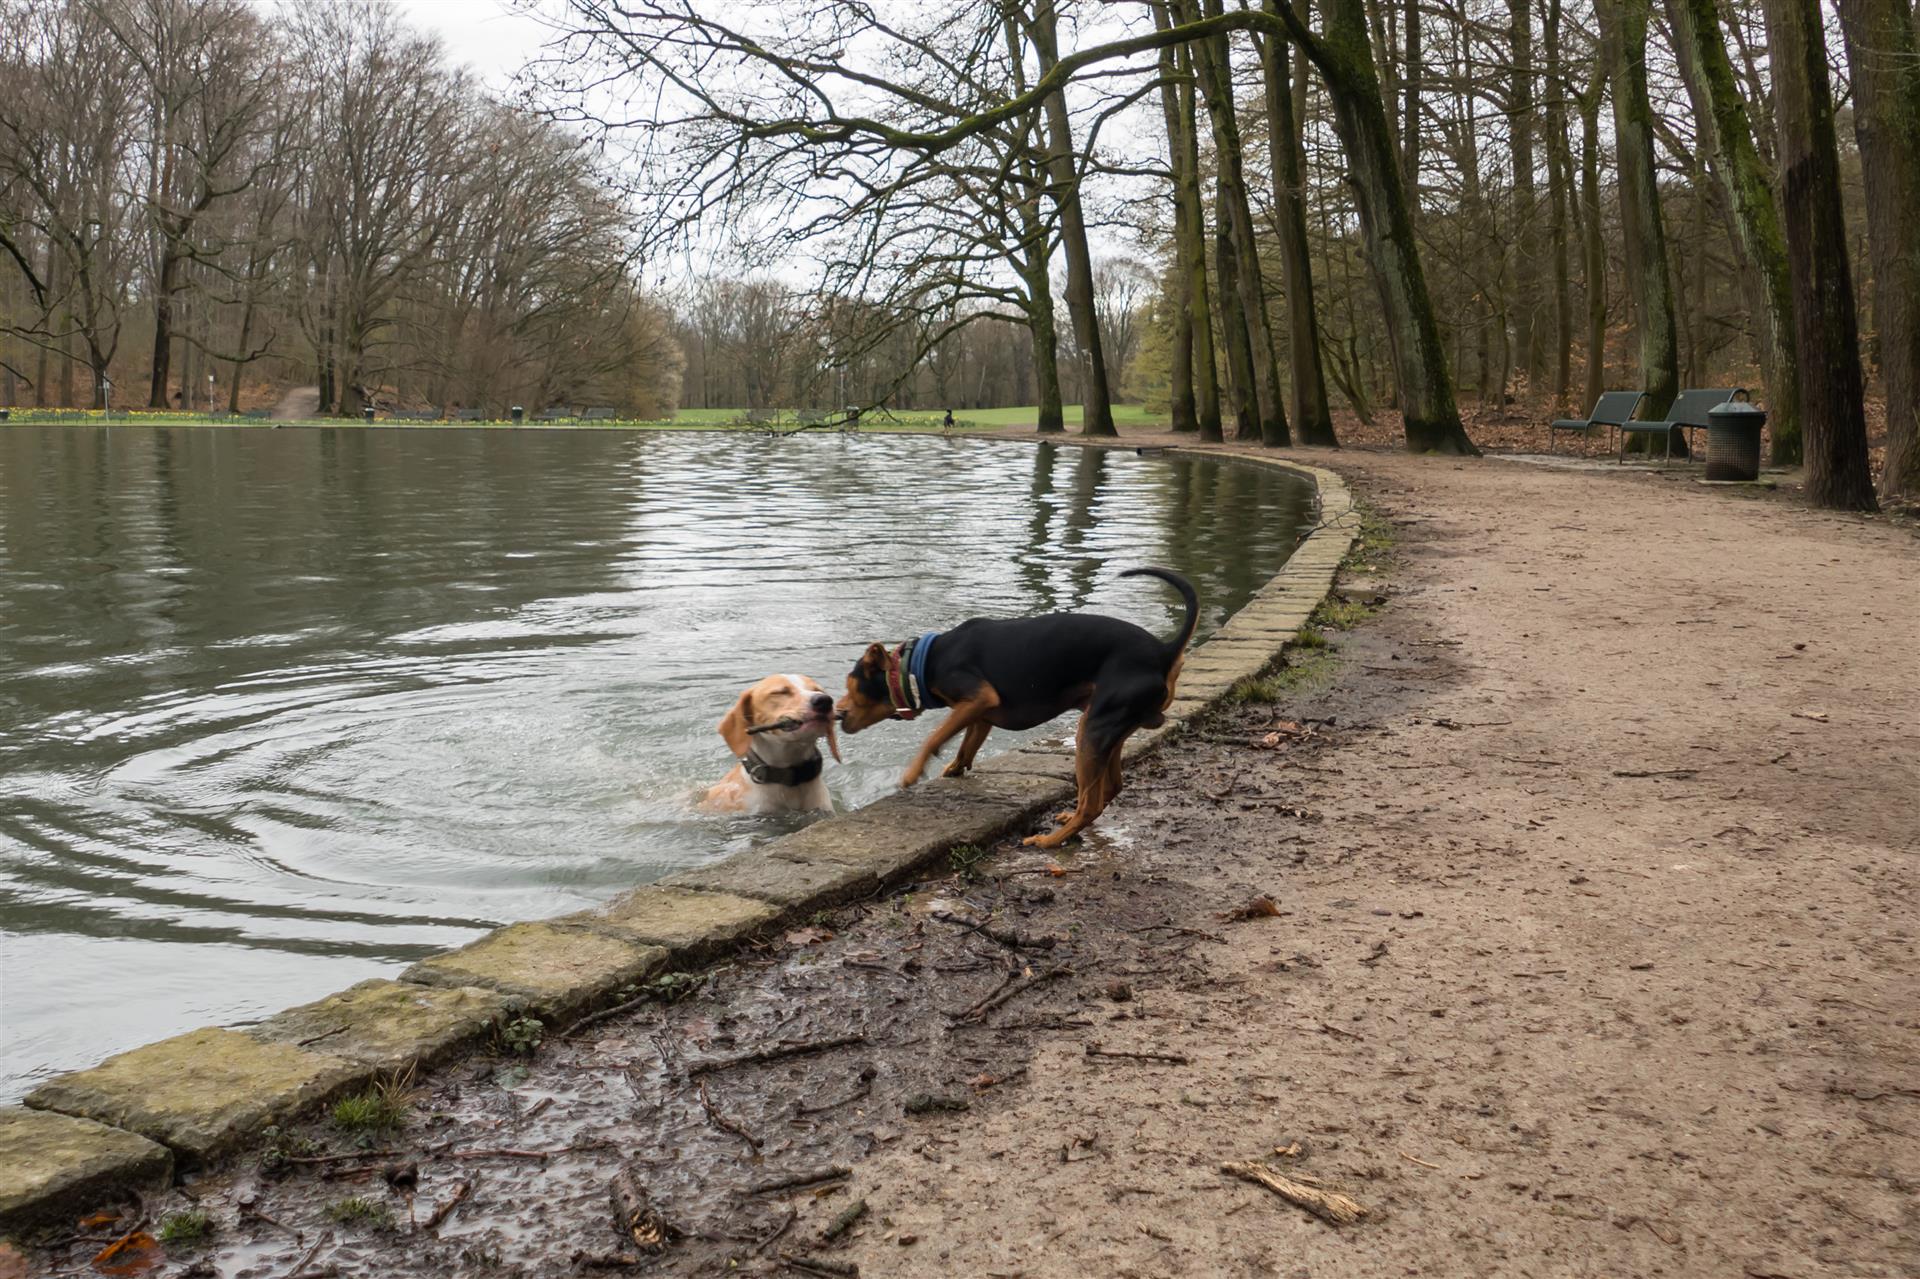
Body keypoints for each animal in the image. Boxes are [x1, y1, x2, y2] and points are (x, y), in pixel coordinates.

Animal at [834, 567, 1198, 848]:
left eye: (851, 687)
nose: (837, 713)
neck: (922, 662)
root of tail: (1165, 651)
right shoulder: (979, 713)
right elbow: (966, 746)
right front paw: (953, 769)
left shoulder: (980, 698)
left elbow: (934, 737)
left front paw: (912, 774)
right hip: (1110, 730)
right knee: (1110, 788)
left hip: (1092, 730)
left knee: (1092, 803)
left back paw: (1050, 840)